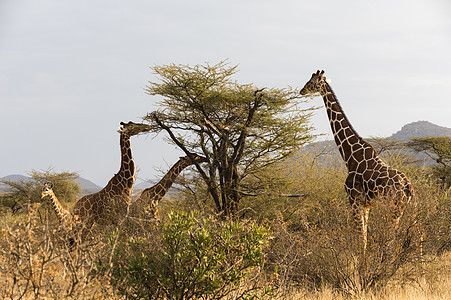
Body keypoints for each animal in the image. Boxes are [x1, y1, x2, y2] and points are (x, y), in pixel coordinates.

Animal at [302, 70, 414, 253]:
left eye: (310, 82)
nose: (301, 90)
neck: (349, 156)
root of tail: (408, 187)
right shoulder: (366, 204)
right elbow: (364, 239)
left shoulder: (354, 200)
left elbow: (360, 240)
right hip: (405, 210)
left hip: (392, 209)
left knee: (392, 242)